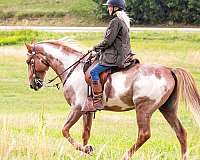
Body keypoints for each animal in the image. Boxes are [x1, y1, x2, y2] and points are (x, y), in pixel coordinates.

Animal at [25, 39, 200, 160]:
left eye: (29, 62)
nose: (34, 85)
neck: (73, 69)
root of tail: (169, 70)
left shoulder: (77, 108)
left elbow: (65, 130)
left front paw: (88, 150)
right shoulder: (87, 111)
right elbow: (85, 134)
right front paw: (86, 151)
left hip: (143, 110)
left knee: (144, 134)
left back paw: (125, 156)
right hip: (168, 109)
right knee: (181, 132)